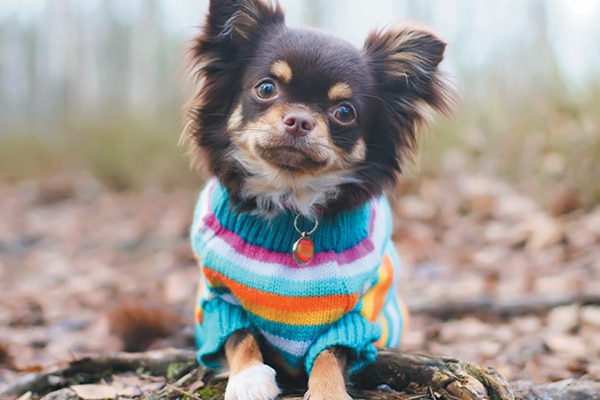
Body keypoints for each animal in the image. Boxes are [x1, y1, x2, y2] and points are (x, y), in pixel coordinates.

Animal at [180, 1, 452, 398]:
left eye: (344, 112)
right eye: (266, 88)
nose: (299, 119)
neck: (292, 202)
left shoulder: (353, 320)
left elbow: (328, 356)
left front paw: (328, 391)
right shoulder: (220, 301)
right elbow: (240, 337)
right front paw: (249, 379)